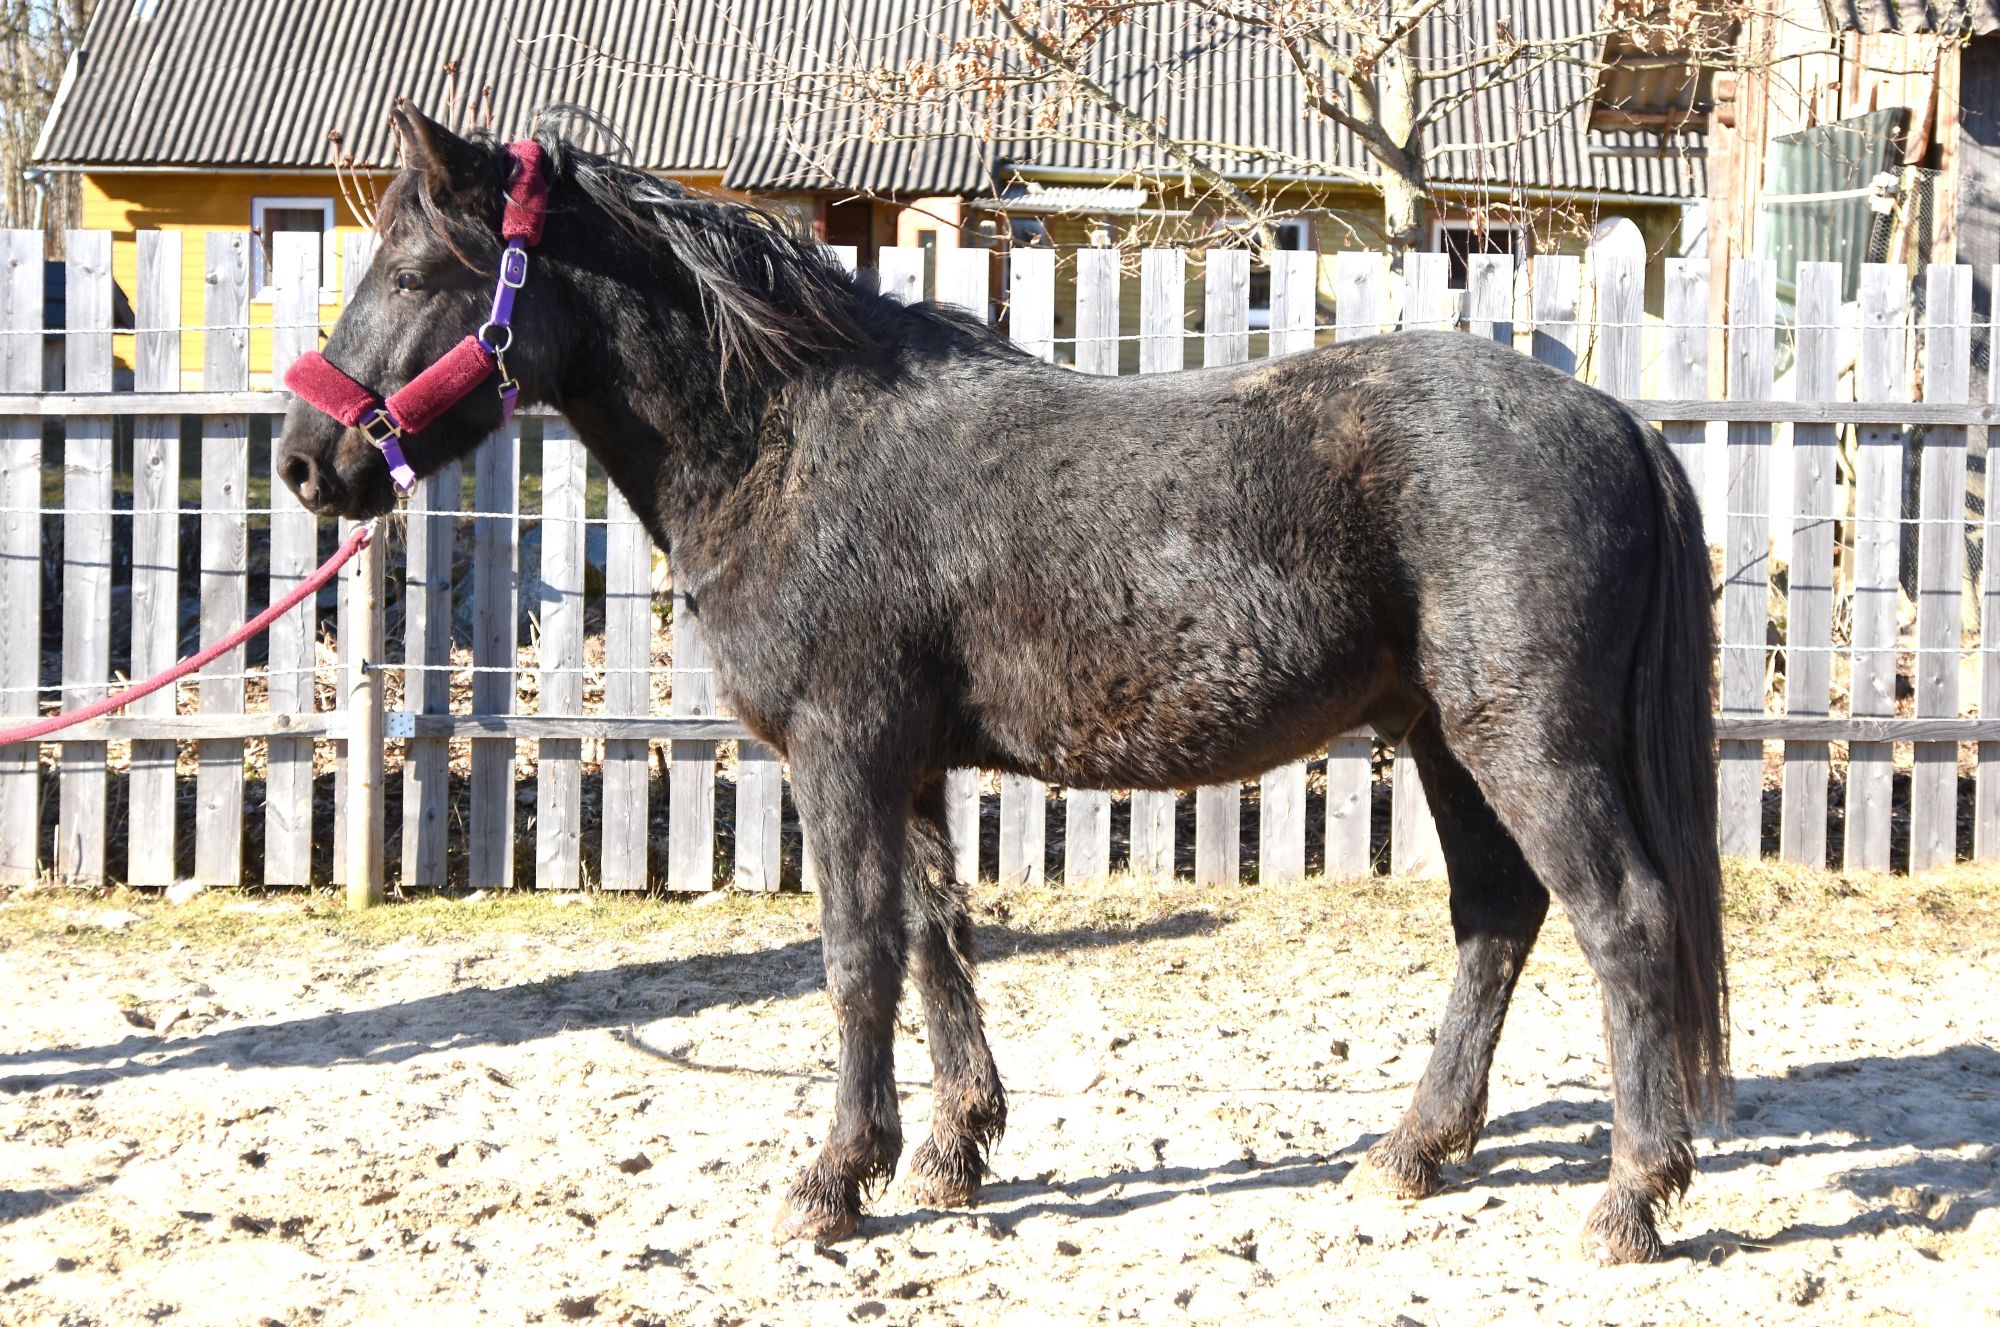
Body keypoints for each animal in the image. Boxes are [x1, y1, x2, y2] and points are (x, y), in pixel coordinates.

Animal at [277, 106, 1728, 1265]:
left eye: (414, 269)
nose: (304, 460)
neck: (790, 443)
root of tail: (1613, 419)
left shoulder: (840, 751)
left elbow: (856, 954)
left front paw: (833, 1178)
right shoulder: (909, 761)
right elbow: (937, 937)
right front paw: (950, 1152)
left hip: (1525, 740)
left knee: (1621, 918)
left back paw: (1628, 1197)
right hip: (1441, 737)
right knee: (1496, 916)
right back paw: (1412, 1151)